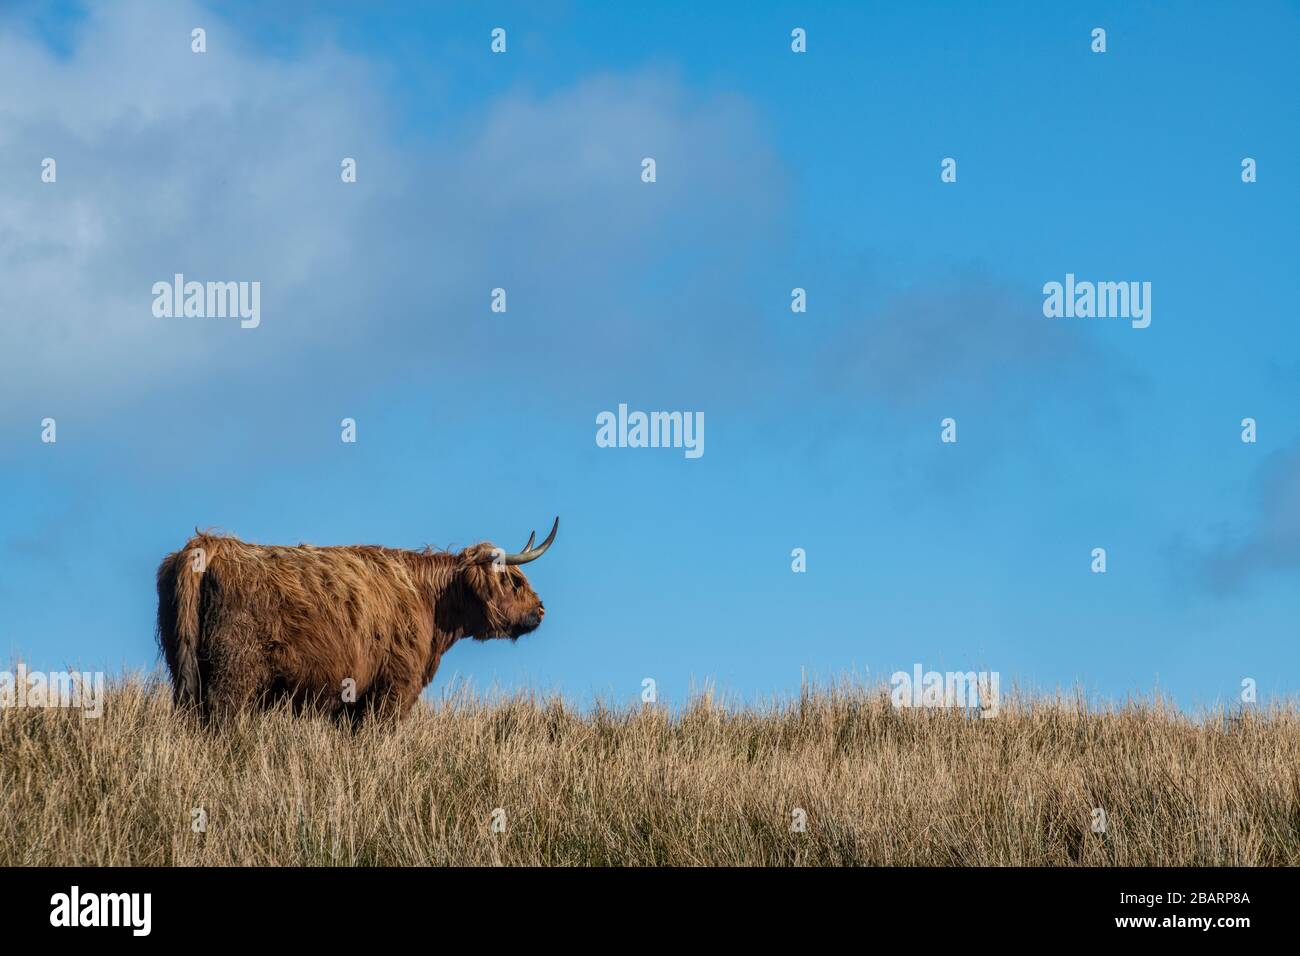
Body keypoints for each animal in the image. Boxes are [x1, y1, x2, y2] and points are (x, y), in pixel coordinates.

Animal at [155, 518, 558, 722]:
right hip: (235, 670)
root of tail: (208, 545)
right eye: (515, 581)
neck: (430, 602)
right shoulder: (394, 688)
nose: (540, 609)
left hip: (183, 668)